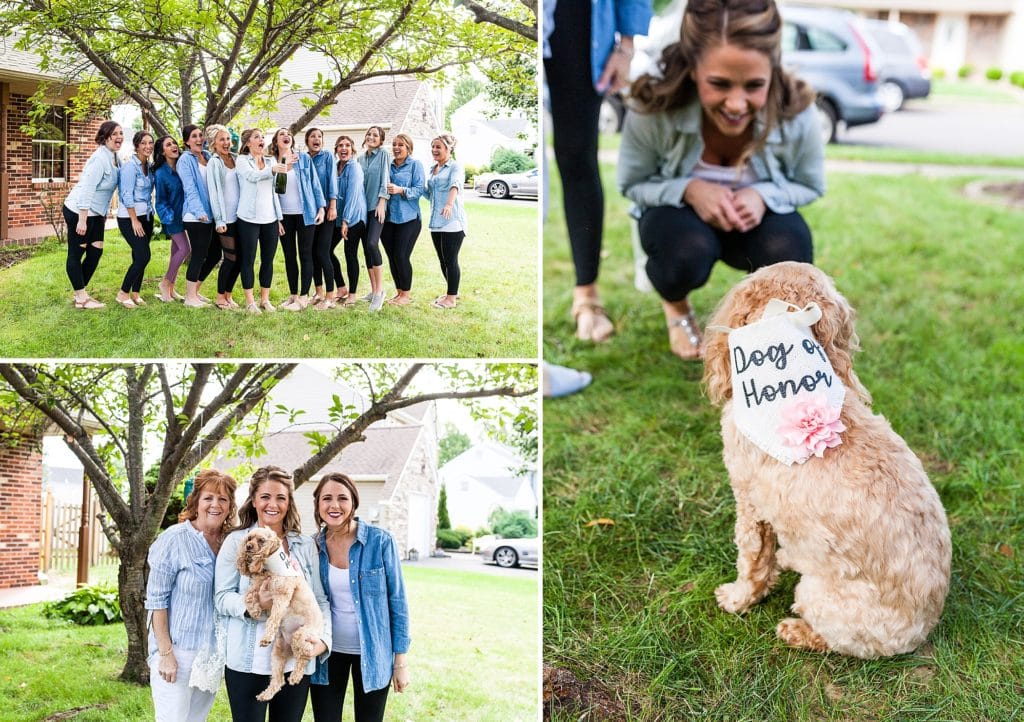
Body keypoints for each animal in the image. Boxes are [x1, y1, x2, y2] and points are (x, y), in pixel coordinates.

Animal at [235, 524, 323, 696]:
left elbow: (273, 618)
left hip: (301, 636)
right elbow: (248, 596)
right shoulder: (259, 585)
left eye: (261, 540)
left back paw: (295, 676)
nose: (248, 547)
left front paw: (266, 637)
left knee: (304, 657)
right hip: (277, 653)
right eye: (249, 538)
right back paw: (265, 695)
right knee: (278, 680)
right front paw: (254, 611)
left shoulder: (282, 595)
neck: (271, 567)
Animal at [704, 262, 950, 655]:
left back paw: (795, 631)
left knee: (836, 641)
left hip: (819, 597)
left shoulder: (748, 502)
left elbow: (753, 560)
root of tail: (923, 628)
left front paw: (738, 599)